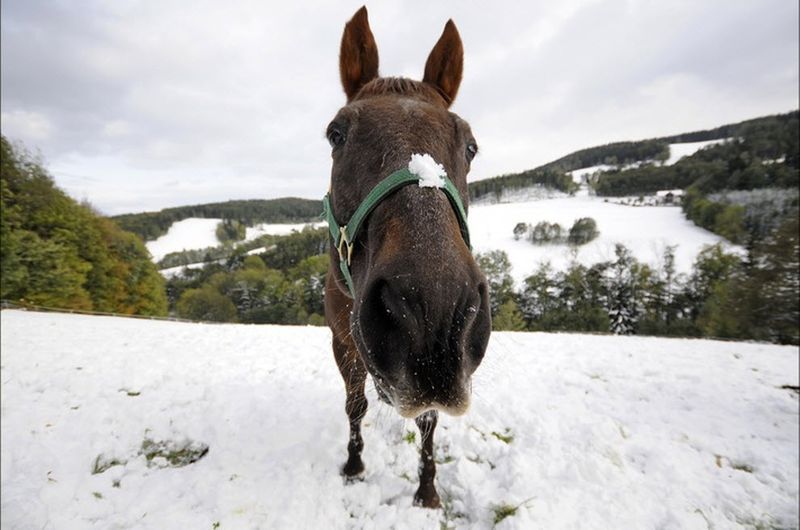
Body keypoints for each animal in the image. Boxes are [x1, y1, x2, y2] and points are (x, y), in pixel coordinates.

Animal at [322, 5, 490, 508]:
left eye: (470, 145)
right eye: (336, 134)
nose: (432, 310)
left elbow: (429, 420)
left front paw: (427, 489)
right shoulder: (342, 343)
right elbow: (354, 403)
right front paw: (354, 465)